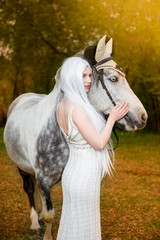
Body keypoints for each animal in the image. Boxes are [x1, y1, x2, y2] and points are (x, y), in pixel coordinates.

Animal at [3, 36, 148, 240]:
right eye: (113, 78)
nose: (143, 117)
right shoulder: (44, 181)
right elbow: (49, 215)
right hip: (22, 168)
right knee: (30, 190)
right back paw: (34, 223)